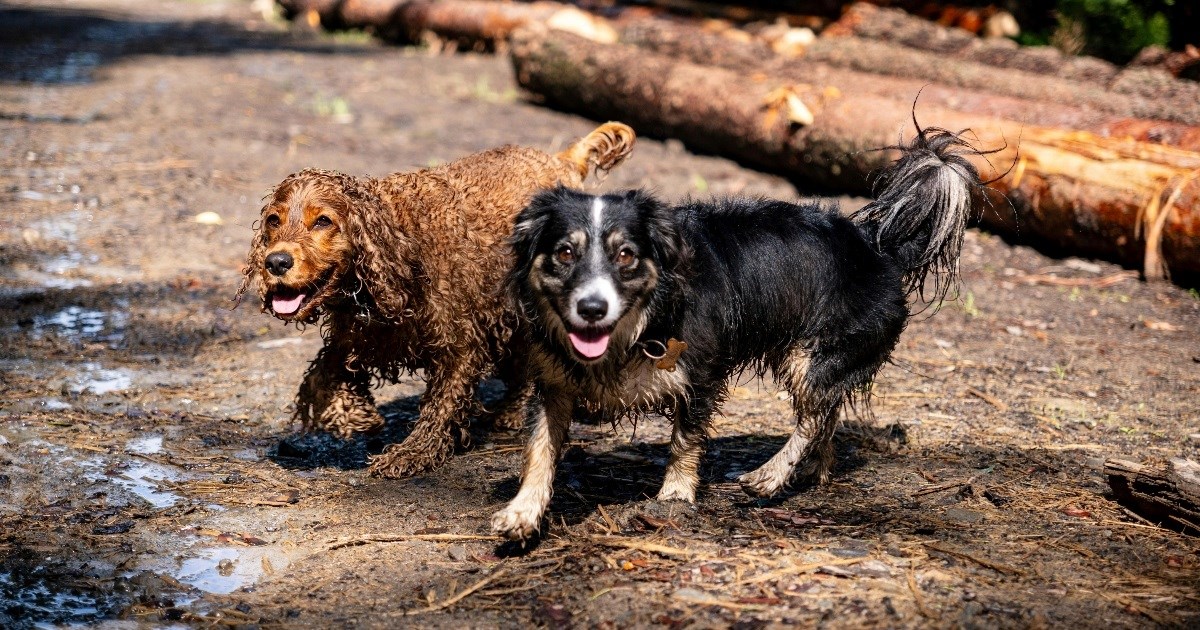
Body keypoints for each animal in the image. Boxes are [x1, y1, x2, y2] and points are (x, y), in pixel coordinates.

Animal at [228, 121, 633, 477]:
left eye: (323, 221)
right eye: (274, 220)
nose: (275, 261)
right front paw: (357, 416)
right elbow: (321, 377)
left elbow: (441, 405)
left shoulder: (461, 342)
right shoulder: (357, 336)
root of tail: (560, 160)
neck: (396, 245)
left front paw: (411, 453)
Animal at [492, 125, 988, 537]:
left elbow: (684, 441)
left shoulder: (700, 374)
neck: (637, 326)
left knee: (813, 416)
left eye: (626, 255)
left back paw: (768, 477)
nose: (592, 308)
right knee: (827, 415)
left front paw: (674, 496)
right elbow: (539, 449)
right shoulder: (554, 384)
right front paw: (523, 511)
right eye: (564, 253)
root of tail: (877, 247)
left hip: (812, 356)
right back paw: (812, 471)